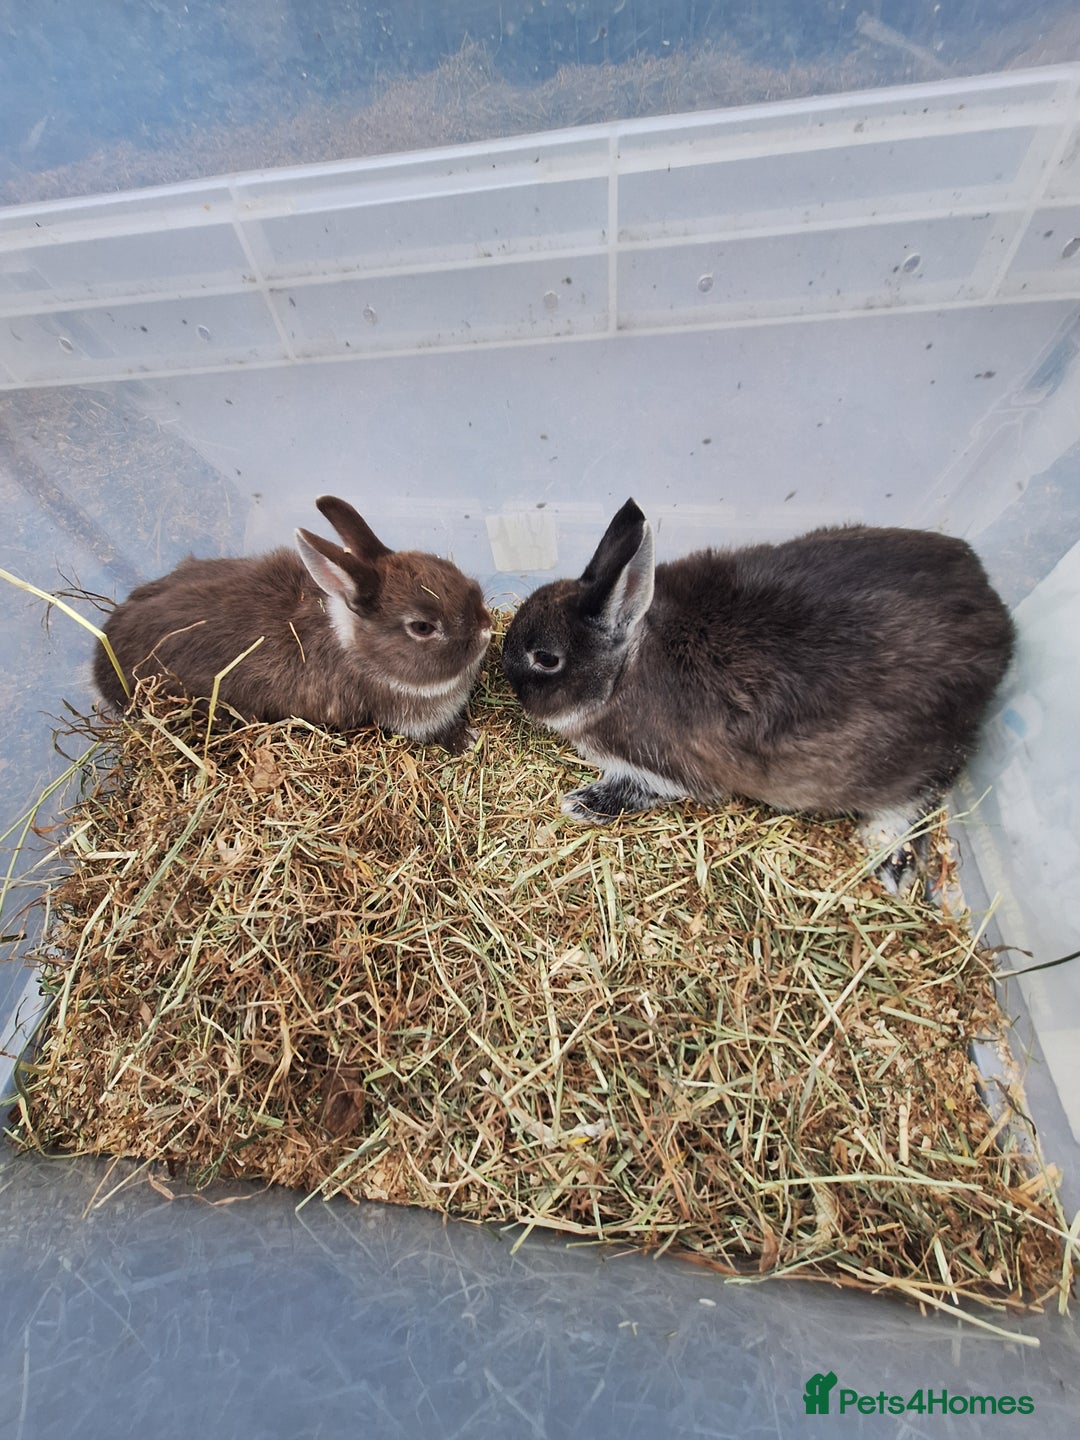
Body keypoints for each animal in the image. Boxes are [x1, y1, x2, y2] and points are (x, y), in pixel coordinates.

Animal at [93, 495, 492, 752]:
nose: (486, 629)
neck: (359, 648)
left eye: (447, 567)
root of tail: (100, 663)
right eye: (422, 627)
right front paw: (467, 741)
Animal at [501, 498, 1015, 889]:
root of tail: (1003, 630)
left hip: (914, 756)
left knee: (922, 793)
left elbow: (639, 788)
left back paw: (887, 857)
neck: (625, 667)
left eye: (546, 658)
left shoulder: (669, 770)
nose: (504, 668)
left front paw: (580, 804)